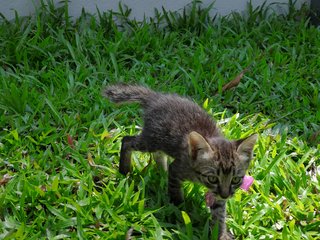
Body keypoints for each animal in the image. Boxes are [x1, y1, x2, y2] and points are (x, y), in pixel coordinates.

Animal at [103, 83, 258, 239]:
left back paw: (161, 172)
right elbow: (176, 195)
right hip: (151, 141)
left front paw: (220, 234)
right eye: (213, 178)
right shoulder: (177, 169)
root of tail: (156, 97)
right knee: (127, 141)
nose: (225, 195)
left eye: (235, 179)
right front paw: (181, 214)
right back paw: (124, 170)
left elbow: (219, 213)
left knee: (158, 154)